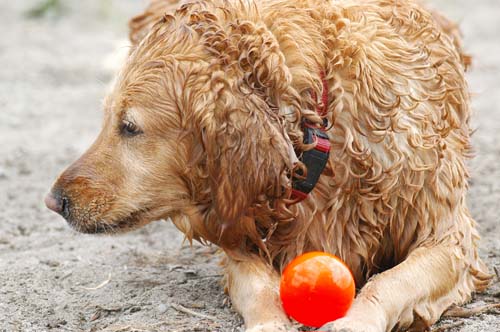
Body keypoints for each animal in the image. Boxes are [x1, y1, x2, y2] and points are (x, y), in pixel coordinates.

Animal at [46, 1, 492, 330]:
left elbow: (391, 280)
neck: (318, 132)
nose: (53, 201)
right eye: (109, 120)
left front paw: (355, 320)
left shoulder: (449, 236)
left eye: (130, 127)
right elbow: (260, 288)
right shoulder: (241, 225)